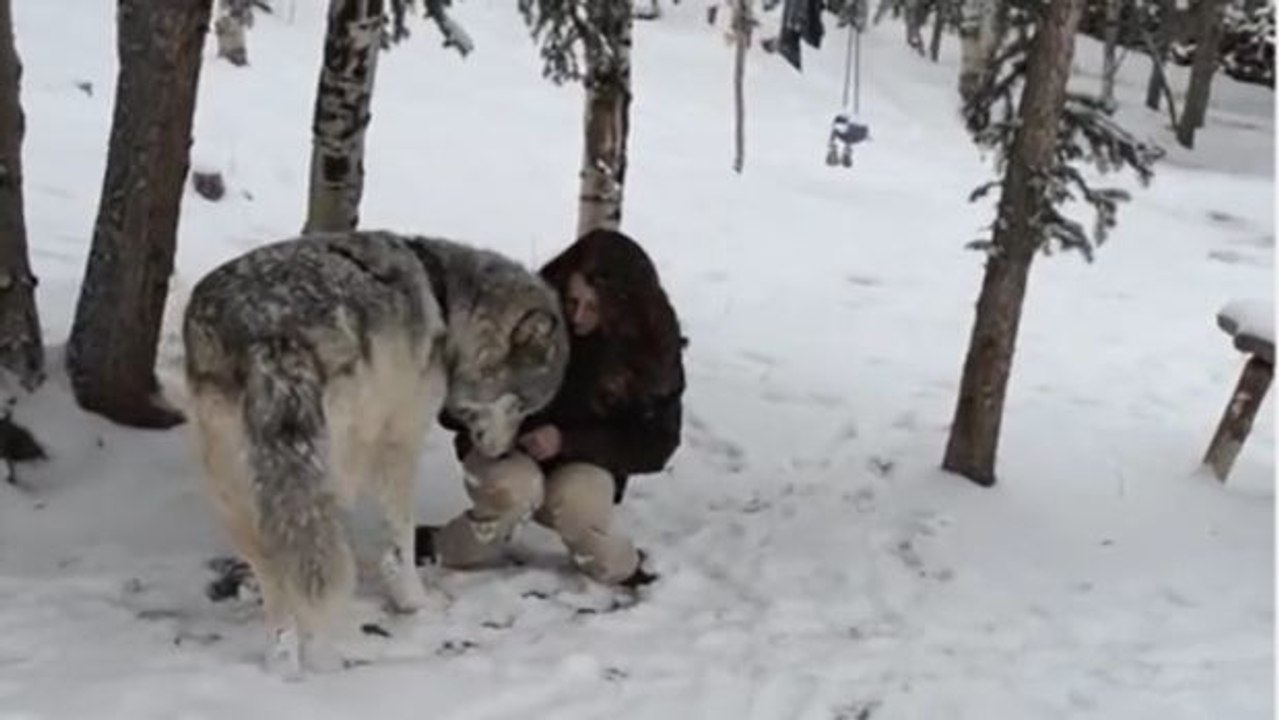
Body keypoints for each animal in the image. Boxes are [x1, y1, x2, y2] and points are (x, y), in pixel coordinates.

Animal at [181, 230, 569, 677]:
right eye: (523, 407)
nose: (503, 451)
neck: (447, 302)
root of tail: (266, 327)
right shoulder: (400, 441)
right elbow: (400, 539)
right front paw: (416, 602)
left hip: (236, 491)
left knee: (282, 574)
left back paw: (283, 662)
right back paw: (325, 656)